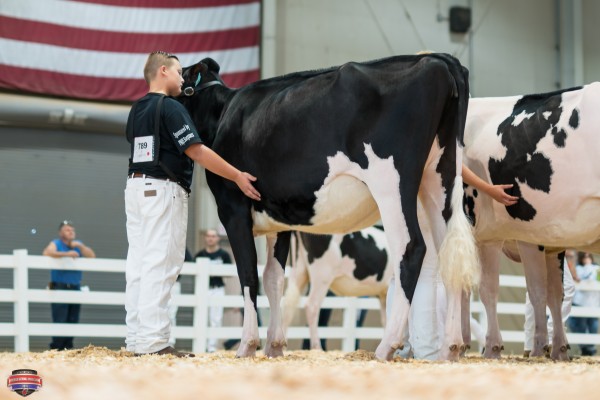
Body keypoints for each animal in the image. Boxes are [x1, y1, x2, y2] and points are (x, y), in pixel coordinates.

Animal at [178, 52, 478, 360]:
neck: (223, 114)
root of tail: (438, 59)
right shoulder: (278, 219)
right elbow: (274, 278)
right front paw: (274, 345)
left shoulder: (233, 208)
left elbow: (248, 273)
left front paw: (248, 345)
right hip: (440, 177)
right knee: (448, 252)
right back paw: (452, 346)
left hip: (392, 181)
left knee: (411, 248)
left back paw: (387, 345)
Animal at [462, 83, 596, 360]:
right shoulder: (532, 240)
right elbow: (546, 293)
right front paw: (552, 348)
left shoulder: (535, 239)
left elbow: (542, 293)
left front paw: (546, 348)